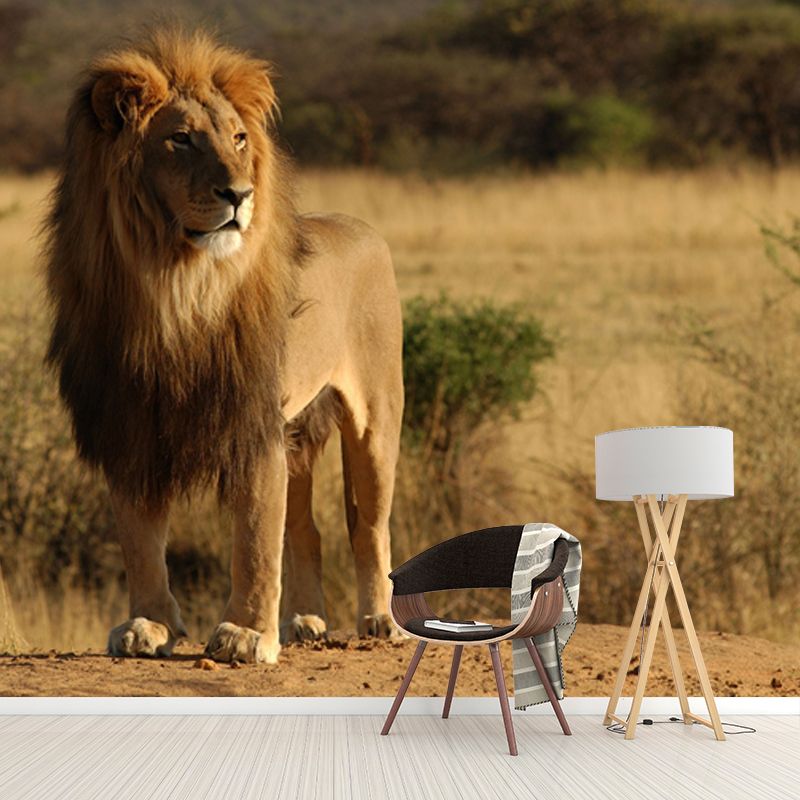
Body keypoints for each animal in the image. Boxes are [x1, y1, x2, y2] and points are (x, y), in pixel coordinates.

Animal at [41, 29, 403, 663]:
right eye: (180, 139)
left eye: (238, 138)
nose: (240, 194)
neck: (174, 286)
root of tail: (362, 227)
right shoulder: (129, 421)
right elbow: (140, 539)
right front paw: (148, 625)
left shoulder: (251, 421)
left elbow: (255, 537)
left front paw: (245, 634)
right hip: (298, 430)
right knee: (305, 529)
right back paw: (306, 621)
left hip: (376, 421)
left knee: (368, 526)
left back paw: (379, 619)